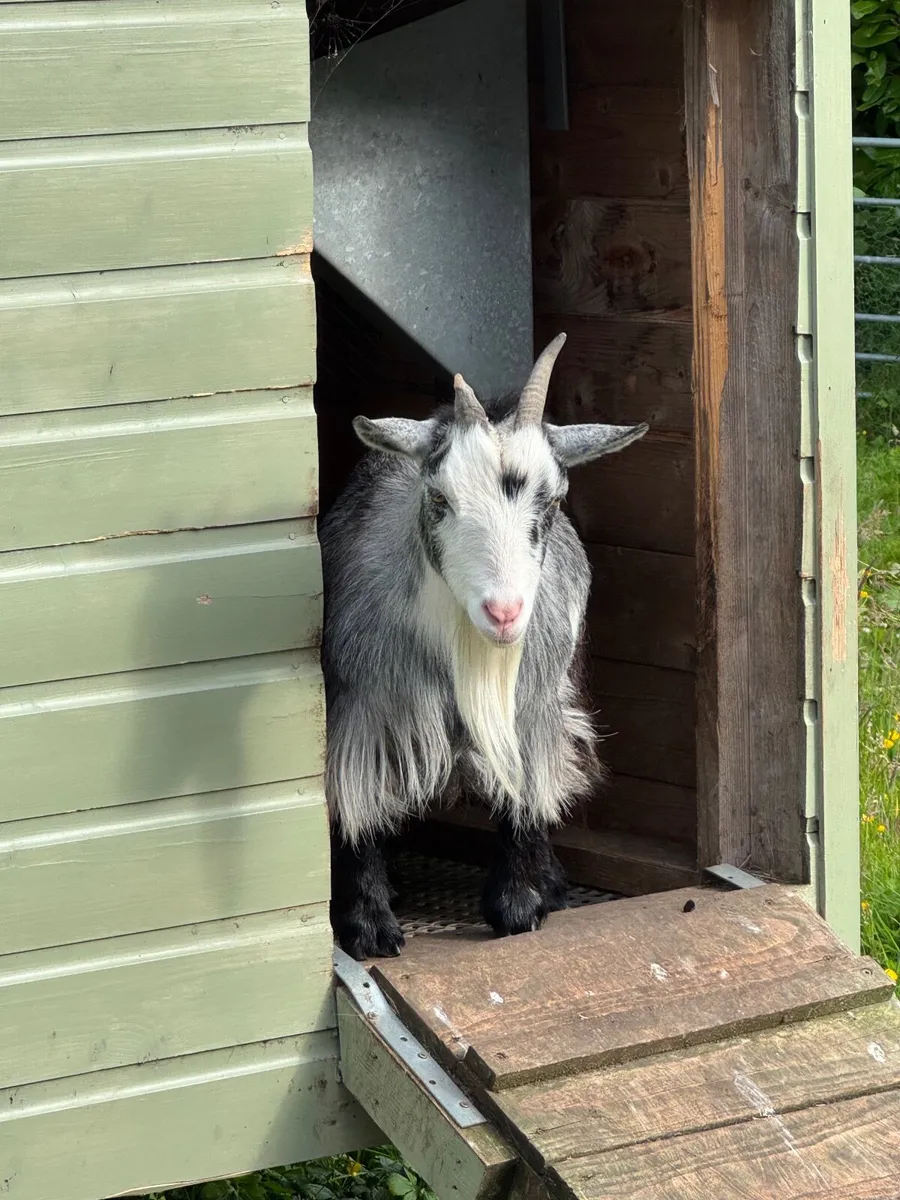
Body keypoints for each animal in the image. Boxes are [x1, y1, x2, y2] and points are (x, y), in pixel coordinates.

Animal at [320, 333, 648, 959]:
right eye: (439, 499)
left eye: (552, 500)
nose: (504, 612)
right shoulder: (363, 712)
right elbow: (355, 806)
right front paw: (368, 925)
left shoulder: (536, 707)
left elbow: (528, 787)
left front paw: (519, 905)